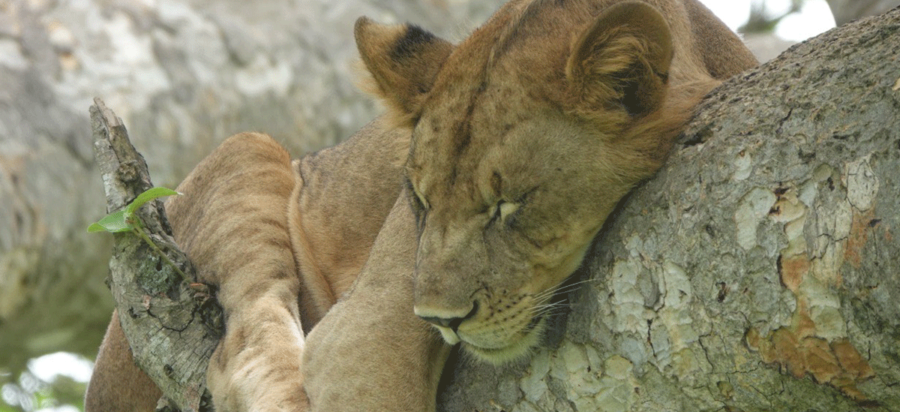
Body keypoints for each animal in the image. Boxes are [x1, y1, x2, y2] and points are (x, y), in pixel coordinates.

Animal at [86, 0, 760, 410]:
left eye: (508, 205)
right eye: (417, 198)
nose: (440, 318)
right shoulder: (358, 337)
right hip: (246, 151)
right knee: (244, 349)